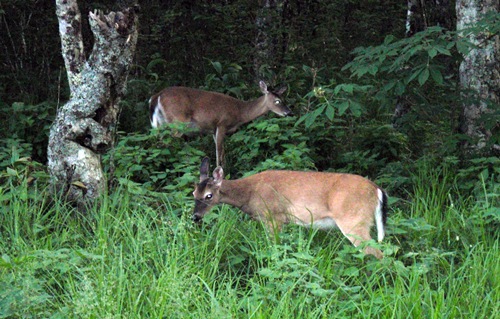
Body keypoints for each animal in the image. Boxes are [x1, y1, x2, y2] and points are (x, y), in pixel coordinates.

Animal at [147, 80, 292, 168]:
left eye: (284, 98)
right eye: (277, 101)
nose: (288, 112)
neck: (240, 112)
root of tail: (156, 96)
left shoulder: (213, 129)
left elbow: (222, 153)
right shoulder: (222, 124)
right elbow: (219, 152)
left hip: (160, 124)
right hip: (177, 122)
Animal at [193, 158, 388, 260]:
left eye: (209, 196)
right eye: (193, 192)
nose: (195, 216)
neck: (249, 194)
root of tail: (377, 190)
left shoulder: (274, 217)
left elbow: (275, 245)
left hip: (354, 220)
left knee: (378, 254)